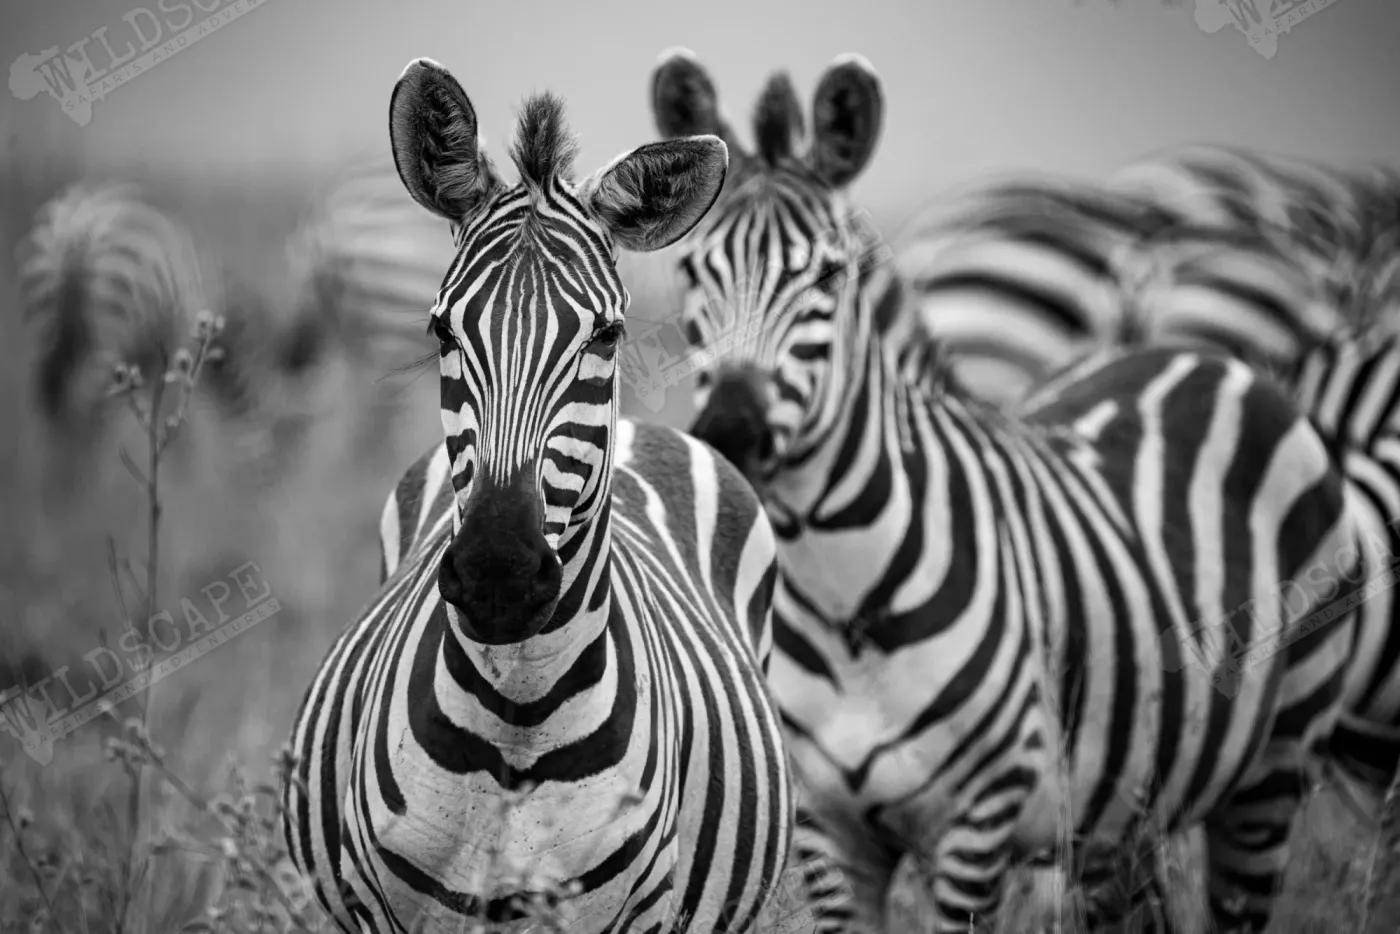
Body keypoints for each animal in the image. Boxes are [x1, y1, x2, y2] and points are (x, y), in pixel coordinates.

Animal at [650, 48, 1366, 933]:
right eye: (691, 271)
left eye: (828, 275)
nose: (732, 430)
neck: (839, 594)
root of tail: (1206, 358)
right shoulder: (831, 830)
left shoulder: (978, 821)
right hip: (1123, 811)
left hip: (1274, 769)